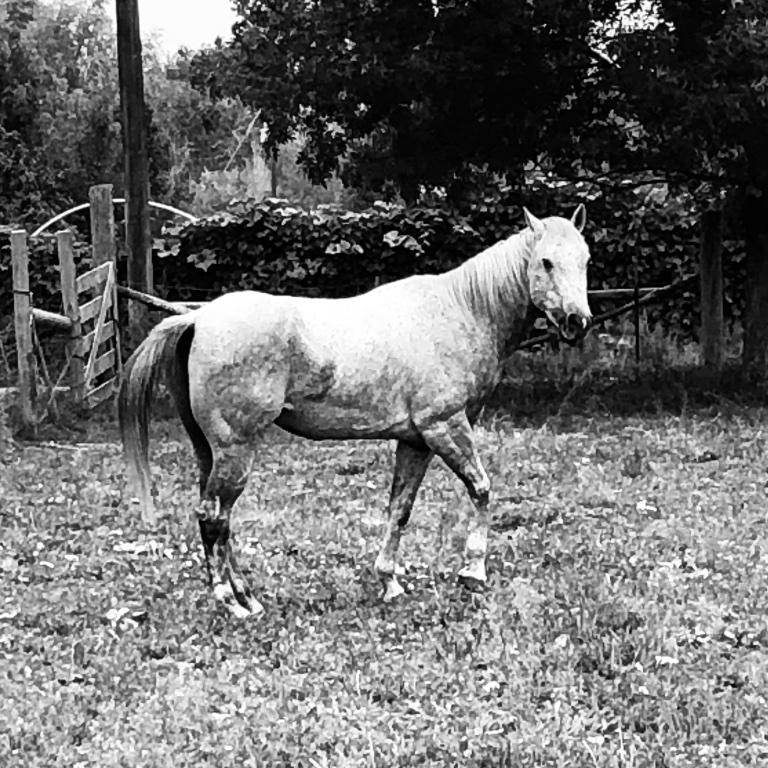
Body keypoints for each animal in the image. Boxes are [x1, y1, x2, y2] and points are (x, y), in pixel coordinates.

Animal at [118, 206, 592, 618]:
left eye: (585, 259)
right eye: (546, 261)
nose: (577, 321)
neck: (461, 310)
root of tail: (197, 319)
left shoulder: (415, 441)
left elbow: (400, 508)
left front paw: (389, 582)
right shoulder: (445, 427)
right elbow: (481, 489)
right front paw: (473, 571)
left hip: (210, 452)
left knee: (220, 519)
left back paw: (247, 597)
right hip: (235, 451)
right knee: (213, 517)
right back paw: (231, 603)